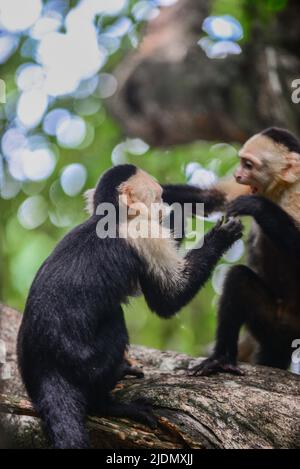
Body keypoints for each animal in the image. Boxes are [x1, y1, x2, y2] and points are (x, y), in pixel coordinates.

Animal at [16, 164, 243, 446]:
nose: (162, 207)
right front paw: (218, 233)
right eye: (157, 197)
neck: (112, 217)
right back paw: (106, 404)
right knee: (115, 322)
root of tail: (46, 366)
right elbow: (168, 299)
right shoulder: (143, 234)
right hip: (83, 362)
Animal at [191, 126, 300, 374]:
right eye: (241, 163)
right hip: (271, 325)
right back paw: (221, 359)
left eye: (248, 165)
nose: (237, 176)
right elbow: (207, 199)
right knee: (238, 280)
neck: (283, 189)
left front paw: (256, 206)